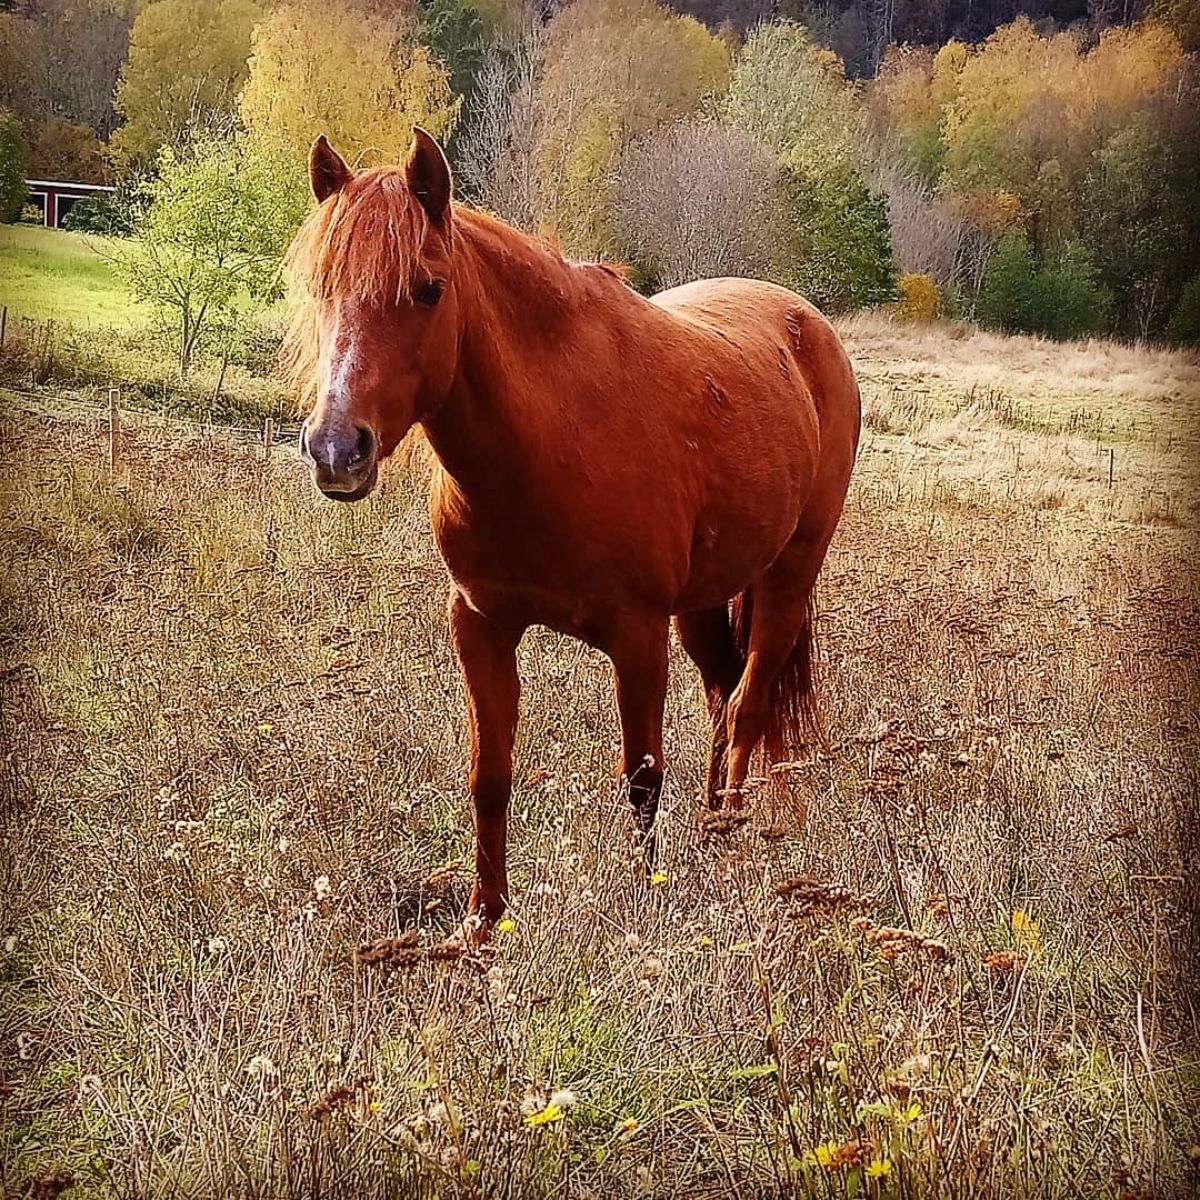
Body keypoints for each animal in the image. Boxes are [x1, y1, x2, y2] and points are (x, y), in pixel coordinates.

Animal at [288, 133, 864, 936]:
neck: (553, 439)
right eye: (321, 287)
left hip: (787, 578)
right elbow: (490, 775)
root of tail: (807, 324)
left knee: (748, 706)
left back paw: (725, 842)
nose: (337, 450)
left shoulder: (638, 637)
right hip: (701, 605)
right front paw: (483, 921)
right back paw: (711, 827)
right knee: (723, 697)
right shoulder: (481, 625)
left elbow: (642, 779)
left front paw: (646, 903)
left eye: (428, 289)